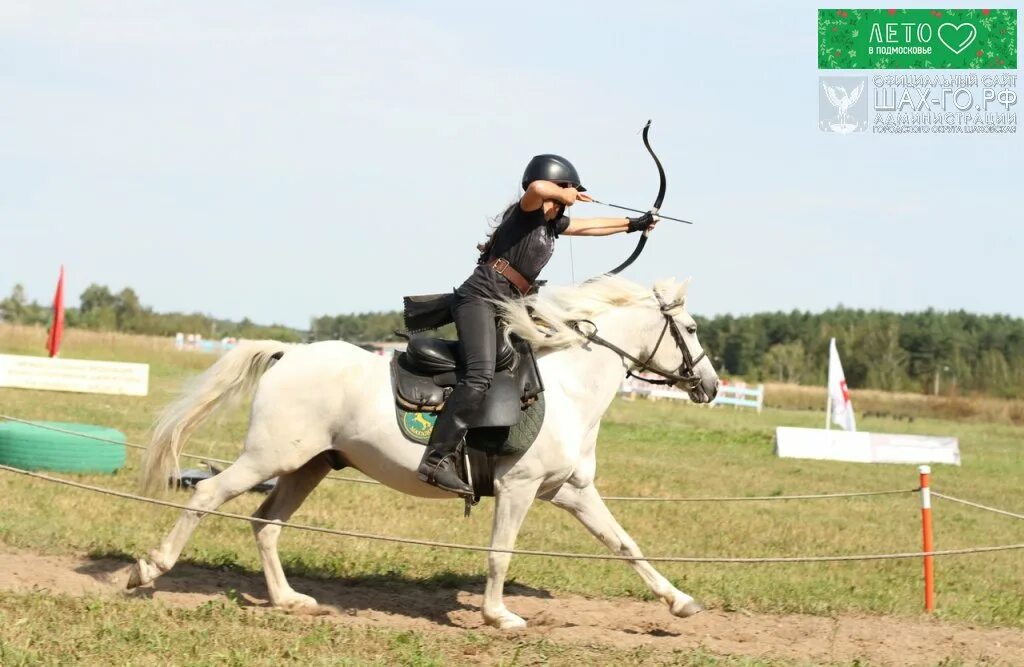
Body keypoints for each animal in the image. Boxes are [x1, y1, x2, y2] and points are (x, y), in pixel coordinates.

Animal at [128, 274, 720, 627]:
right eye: (691, 329)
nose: (712, 387)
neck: (570, 387)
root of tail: (289, 352)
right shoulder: (520, 488)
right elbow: (501, 552)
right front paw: (499, 616)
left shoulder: (571, 491)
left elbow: (625, 544)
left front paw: (680, 601)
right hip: (268, 459)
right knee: (207, 494)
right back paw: (149, 569)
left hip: (308, 466)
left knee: (266, 524)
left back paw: (288, 600)